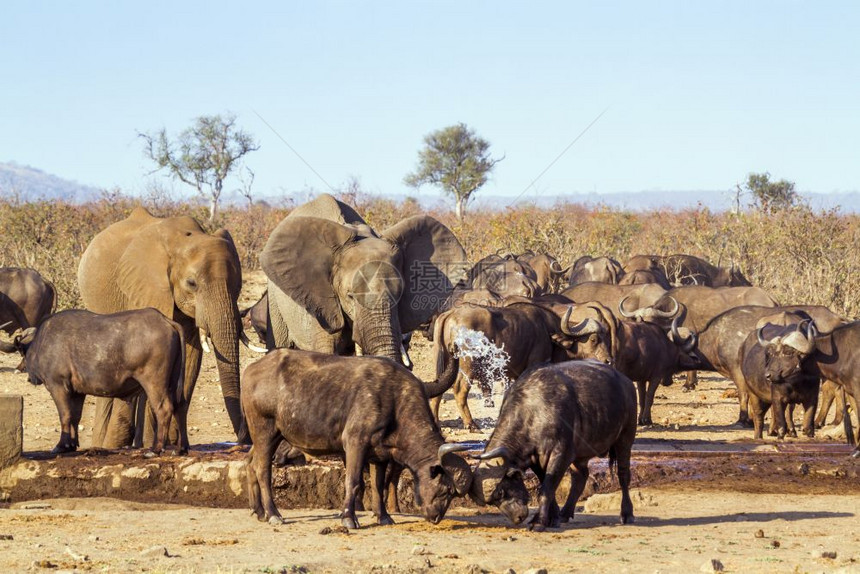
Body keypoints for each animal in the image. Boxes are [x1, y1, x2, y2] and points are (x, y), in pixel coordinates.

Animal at [0, 312, 187, 456]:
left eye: (22, 353)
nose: (27, 376)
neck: (42, 341)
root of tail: (166, 320)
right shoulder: (77, 392)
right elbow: (75, 416)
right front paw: (71, 445)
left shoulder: (57, 386)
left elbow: (65, 415)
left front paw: (61, 446)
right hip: (174, 382)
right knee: (180, 407)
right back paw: (180, 449)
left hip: (154, 383)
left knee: (164, 408)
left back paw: (155, 450)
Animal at [78, 207, 249, 450]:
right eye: (192, 284)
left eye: (239, 285)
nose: (243, 441)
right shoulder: (145, 288)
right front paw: (155, 443)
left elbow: (191, 359)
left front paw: (175, 444)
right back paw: (108, 445)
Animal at [240, 348, 470, 528]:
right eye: (446, 489)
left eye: (453, 495)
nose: (436, 516)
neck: (396, 402)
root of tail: (250, 371)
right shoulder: (354, 443)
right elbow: (353, 481)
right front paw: (349, 518)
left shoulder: (380, 455)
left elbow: (378, 485)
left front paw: (384, 517)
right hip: (265, 431)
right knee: (262, 469)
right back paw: (273, 514)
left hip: (269, 436)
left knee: (249, 462)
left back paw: (259, 511)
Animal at [466, 362, 636, 532]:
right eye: (492, 502)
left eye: (501, 492)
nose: (518, 518)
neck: (533, 413)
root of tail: (627, 382)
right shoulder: (536, 460)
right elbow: (549, 488)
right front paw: (552, 518)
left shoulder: (561, 454)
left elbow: (546, 490)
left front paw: (539, 521)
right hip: (581, 453)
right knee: (580, 476)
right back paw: (565, 513)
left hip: (625, 438)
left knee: (623, 474)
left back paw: (627, 514)